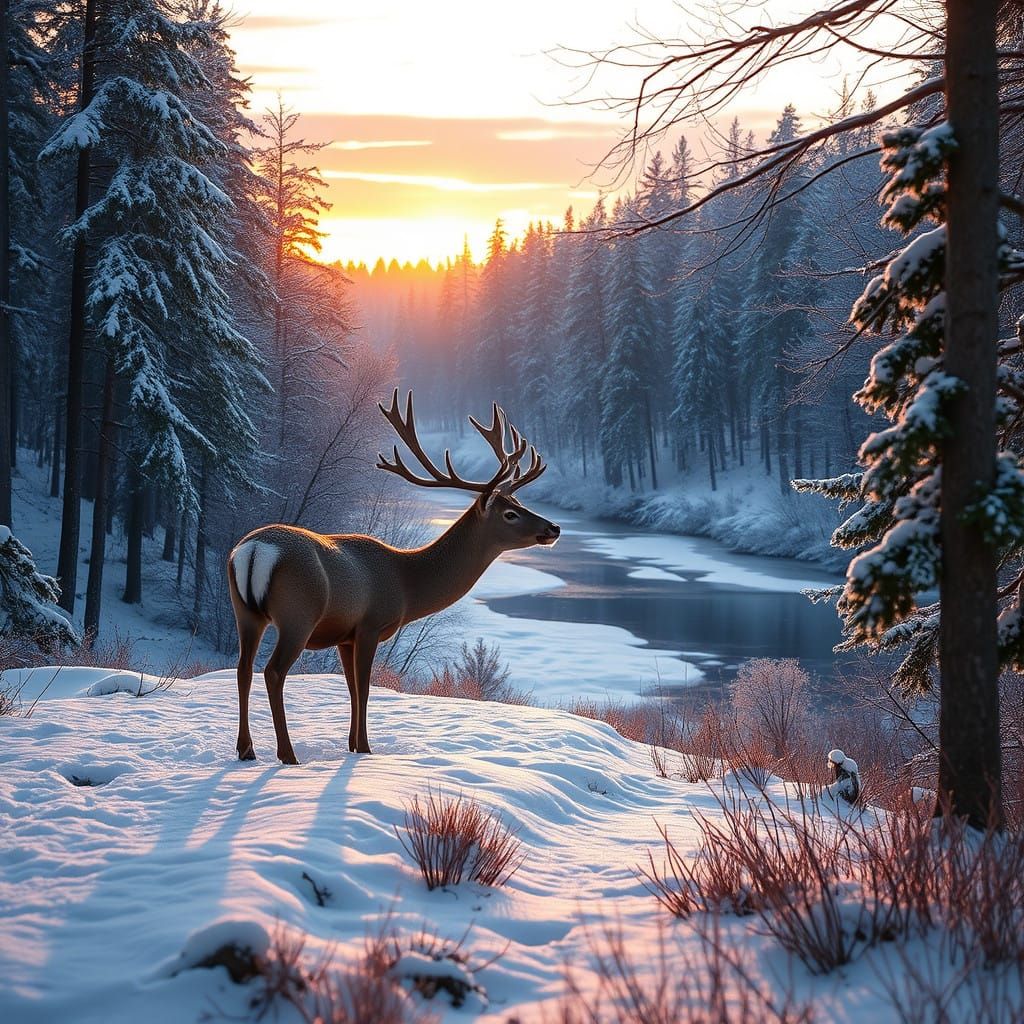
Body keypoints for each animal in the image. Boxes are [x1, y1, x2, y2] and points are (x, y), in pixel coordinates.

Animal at [226, 390, 560, 764]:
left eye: (519, 501)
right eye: (510, 513)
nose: (554, 528)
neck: (405, 583)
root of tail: (254, 549)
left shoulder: (345, 635)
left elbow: (352, 688)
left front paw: (352, 744)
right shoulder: (371, 623)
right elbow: (364, 687)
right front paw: (365, 748)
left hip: (245, 612)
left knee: (242, 669)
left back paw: (246, 749)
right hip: (298, 613)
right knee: (273, 671)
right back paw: (287, 754)